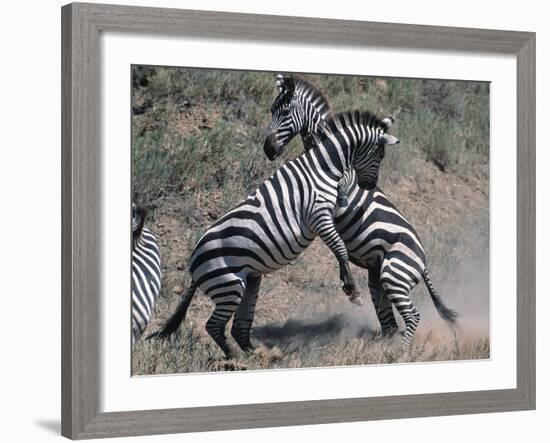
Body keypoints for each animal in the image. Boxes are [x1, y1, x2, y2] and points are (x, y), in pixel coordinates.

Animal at [150, 109, 402, 360]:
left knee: (238, 326)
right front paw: (352, 289)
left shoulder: (329, 212)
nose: (369, 186)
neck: (322, 166)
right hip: (229, 285)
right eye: (380, 155)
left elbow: (341, 228)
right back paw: (237, 359)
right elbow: (339, 248)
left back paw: (258, 354)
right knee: (213, 325)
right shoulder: (318, 215)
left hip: (249, 280)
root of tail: (193, 263)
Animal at [266, 74, 460, 352]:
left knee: (411, 316)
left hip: (394, 274)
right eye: (272, 110)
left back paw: (400, 354)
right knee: (389, 322)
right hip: (379, 278)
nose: (268, 149)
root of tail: (424, 263)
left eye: (285, 112)